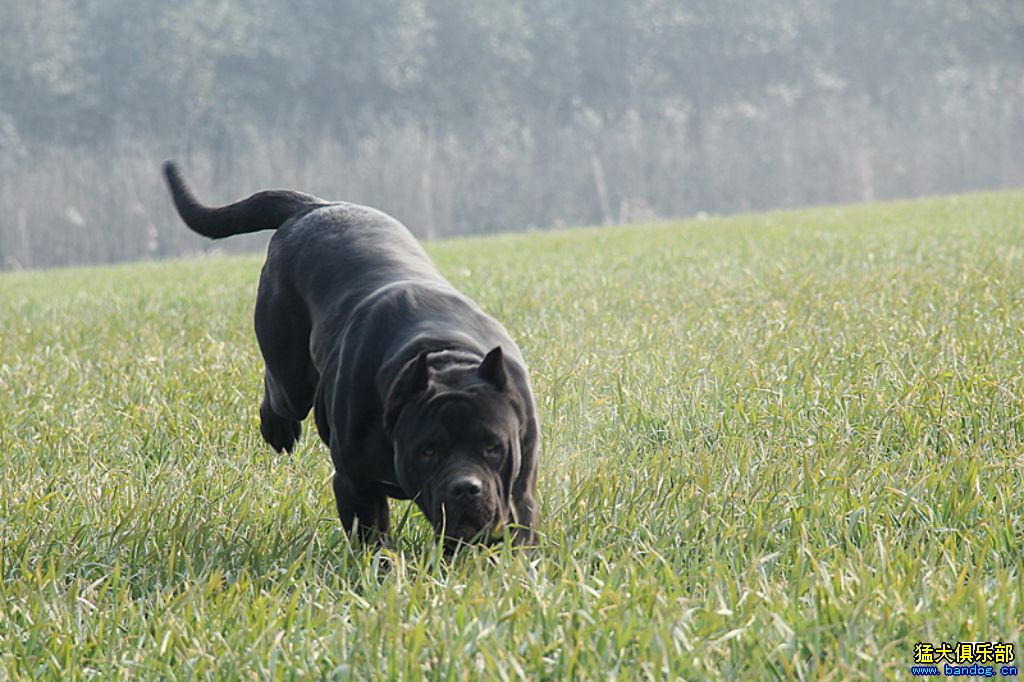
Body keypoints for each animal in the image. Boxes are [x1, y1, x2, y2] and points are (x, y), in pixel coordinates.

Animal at [161, 161, 536, 544]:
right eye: (428, 450)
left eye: (492, 447)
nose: (465, 488)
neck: (446, 362)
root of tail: (314, 206)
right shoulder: (355, 486)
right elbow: (372, 537)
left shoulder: (518, 490)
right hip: (288, 368)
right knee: (280, 391)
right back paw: (278, 429)